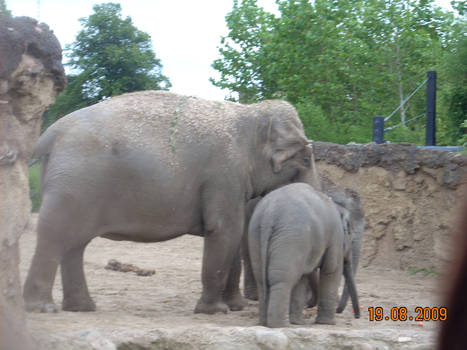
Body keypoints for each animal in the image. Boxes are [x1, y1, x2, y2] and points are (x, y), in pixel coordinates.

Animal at [22, 90, 314, 314]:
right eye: (306, 157)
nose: (309, 306)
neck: (249, 114)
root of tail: (51, 133)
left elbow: (234, 236)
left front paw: (235, 307)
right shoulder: (224, 176)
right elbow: (223, 231)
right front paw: (214, 311)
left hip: (74, 187)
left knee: (75, 243)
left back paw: (82, 308)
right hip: (72, 185)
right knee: (56, 236)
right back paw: (43, 308)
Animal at [250, 182, 360, 326]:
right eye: (351, 234)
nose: (357, 316)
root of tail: (269, 214)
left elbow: (302, 279)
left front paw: (298, 323)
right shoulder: (335, 238)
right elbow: (331, 270)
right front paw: (327, 323)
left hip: (256, 235)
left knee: (262, 280)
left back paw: (265, 323)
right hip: (291, 240)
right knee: (282, 280)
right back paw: (281, 325)